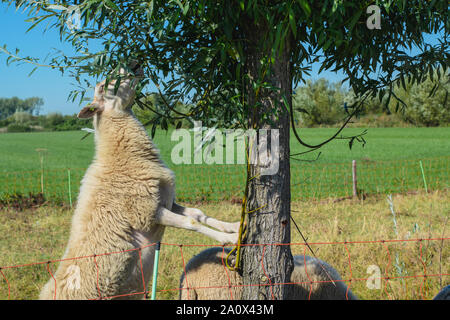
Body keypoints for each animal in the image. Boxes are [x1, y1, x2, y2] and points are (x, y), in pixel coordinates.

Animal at [39, 67, 239, 300]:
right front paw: (231, 239)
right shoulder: (146, 212)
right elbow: (191, 223)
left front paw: (234, 226)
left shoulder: (164, 201)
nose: (132, 66)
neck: (121, 157)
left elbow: (198, 213)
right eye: (102, 86)